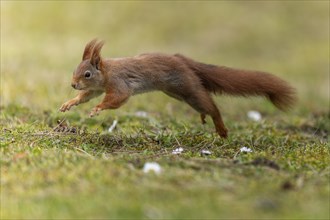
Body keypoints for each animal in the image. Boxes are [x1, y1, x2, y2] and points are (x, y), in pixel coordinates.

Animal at [59, 38, 296, 138]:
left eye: (87, 74)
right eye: (75, 69)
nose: (73, 84)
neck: (106, 72)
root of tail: (184, 61)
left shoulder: (119, 83)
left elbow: (118, 98)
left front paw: (97, 109)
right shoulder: (97, 88)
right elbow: (86, 95)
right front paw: (69, 103)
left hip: (187, 87)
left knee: (213, 107)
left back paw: (220, 128)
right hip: (178, 92)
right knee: (205, 104)